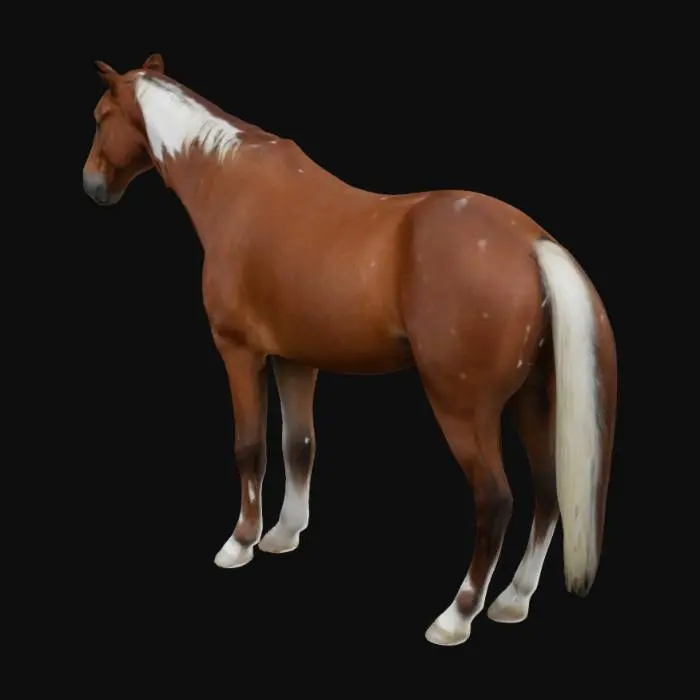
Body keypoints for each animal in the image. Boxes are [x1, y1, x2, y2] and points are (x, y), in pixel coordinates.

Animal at [82, 54, 617, 647]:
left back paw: (456, 616)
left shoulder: (239, 352)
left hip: (464, 409)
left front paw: (240, 542)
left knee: (496, 502)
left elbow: (250, 448)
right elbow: (300, 445)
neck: (232, 183)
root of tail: (531, 245)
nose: (92, 184)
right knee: (548, 493)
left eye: (100, 116)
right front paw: (283, 533)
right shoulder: (296, 360)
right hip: (533, 402)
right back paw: (512, 601)